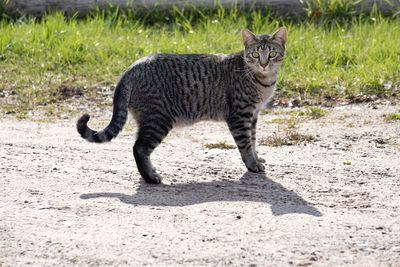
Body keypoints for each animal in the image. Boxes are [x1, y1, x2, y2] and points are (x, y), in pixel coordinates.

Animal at [76, 28, 288, 185]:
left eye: (272, 53)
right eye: (255, 54)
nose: (263, 63)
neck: (263, 82)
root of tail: (131, 68)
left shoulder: (254, 115)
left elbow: (253, 140)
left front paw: (257, 158)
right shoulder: (240, 115)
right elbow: (245, 143)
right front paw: (252, 164)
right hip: (159, 119)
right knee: (139, 148)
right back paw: (151, 177)